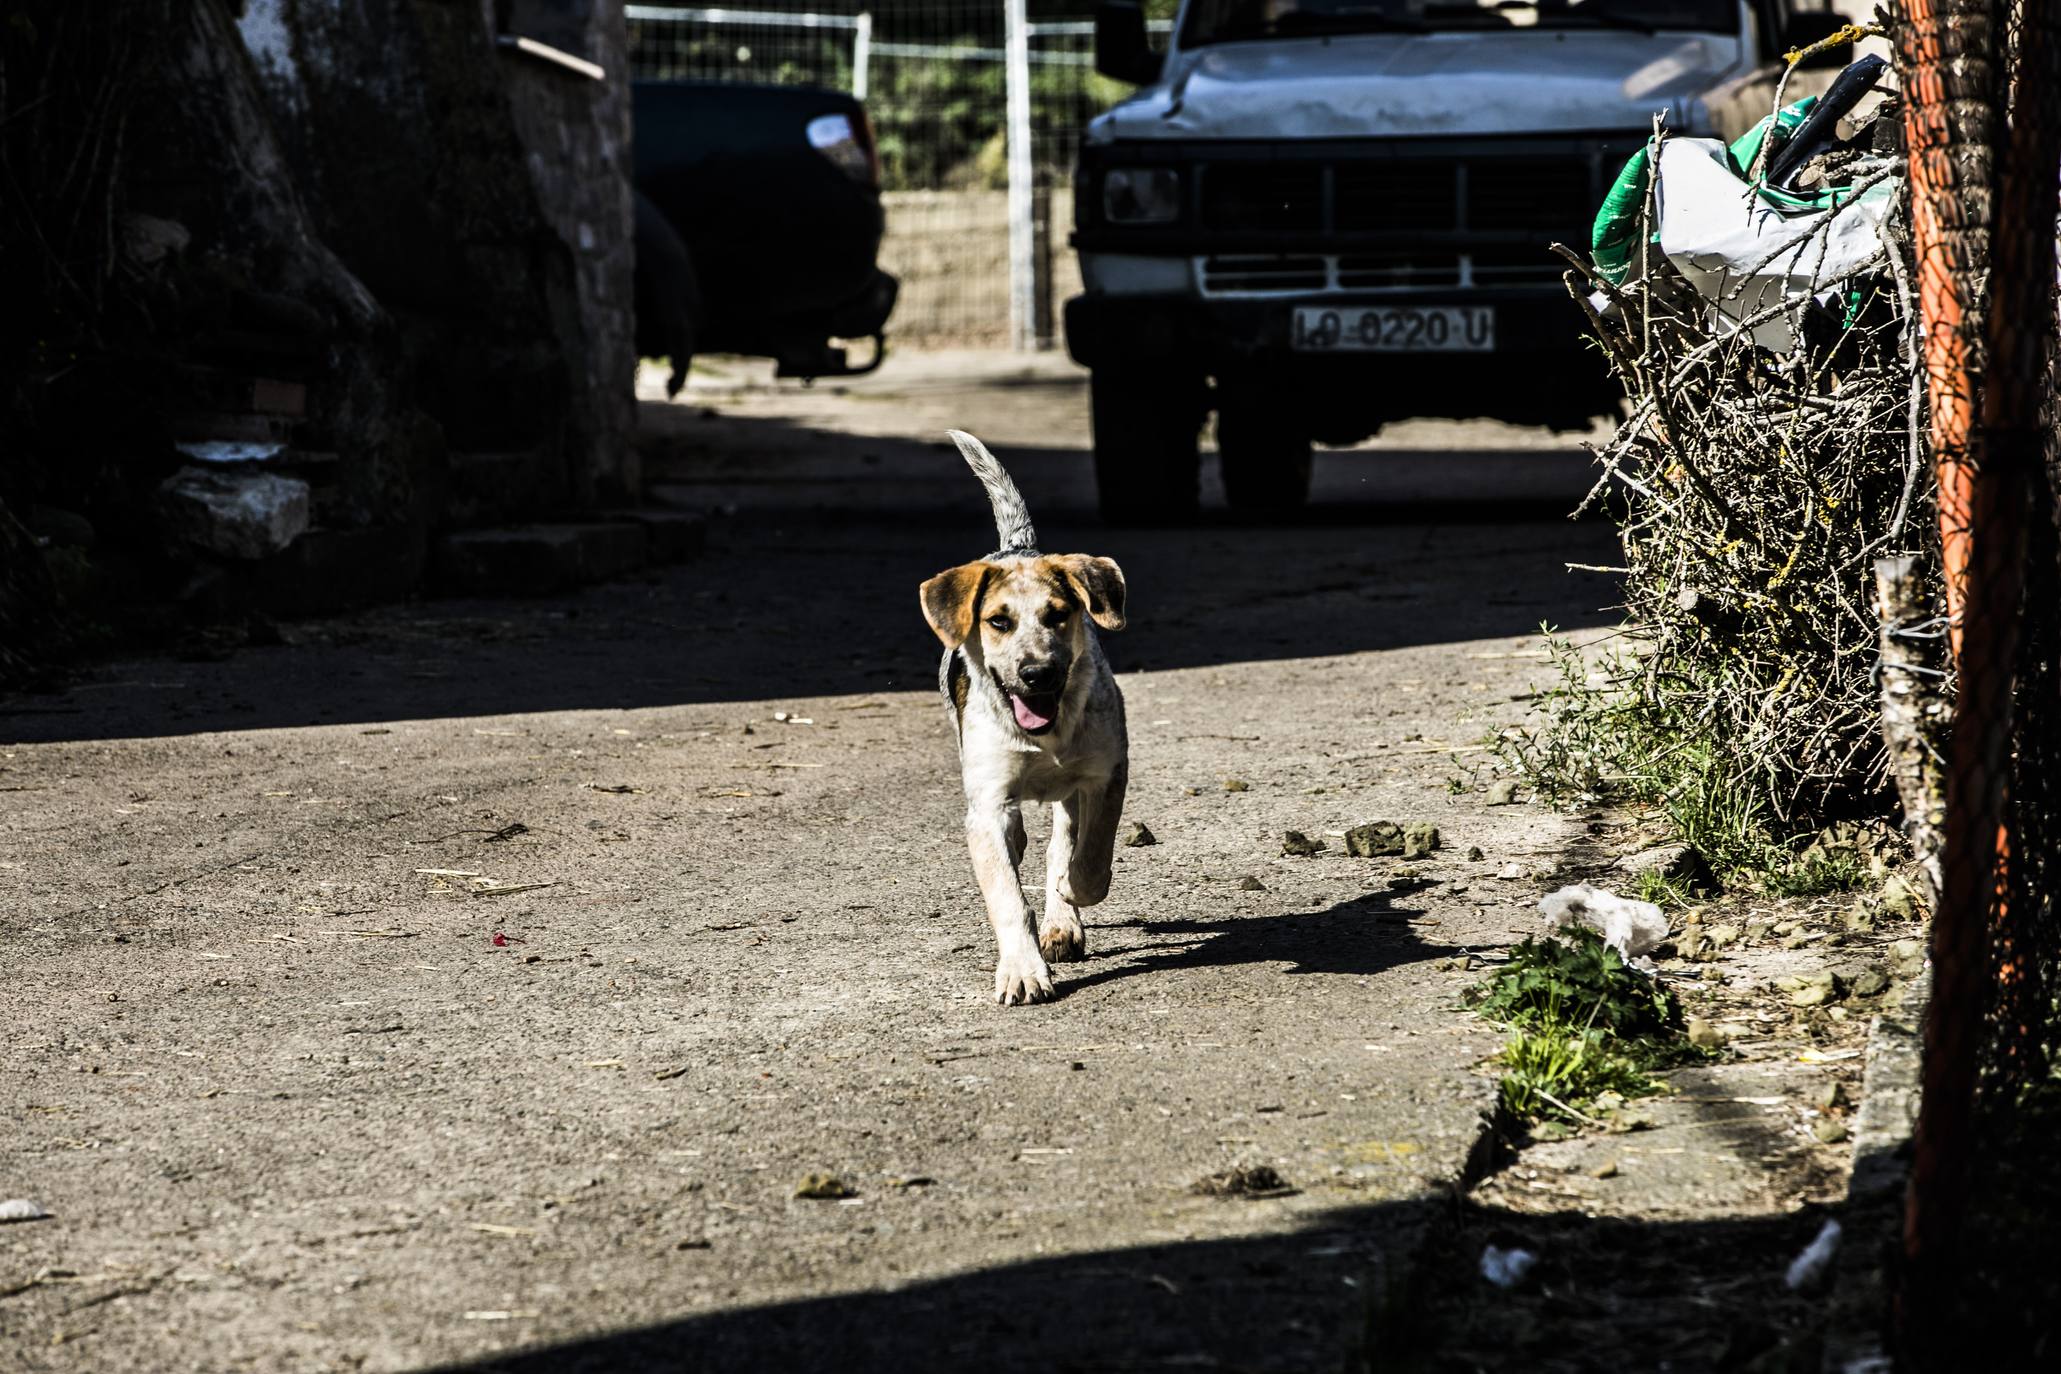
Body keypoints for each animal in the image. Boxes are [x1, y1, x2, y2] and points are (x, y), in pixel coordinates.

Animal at [927, 434, 1137, 1005]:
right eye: (998, 622)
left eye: (1058, 615)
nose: (1037, 673)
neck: (1043, 737)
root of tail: (1016, 548)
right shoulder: (988, 803)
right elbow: (1006, 895)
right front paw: (1022, 970)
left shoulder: (1105, 775)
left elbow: (1087, 860)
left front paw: (1068, 896)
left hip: (1074, 790)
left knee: (1064, 841)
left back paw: (1062, 918)